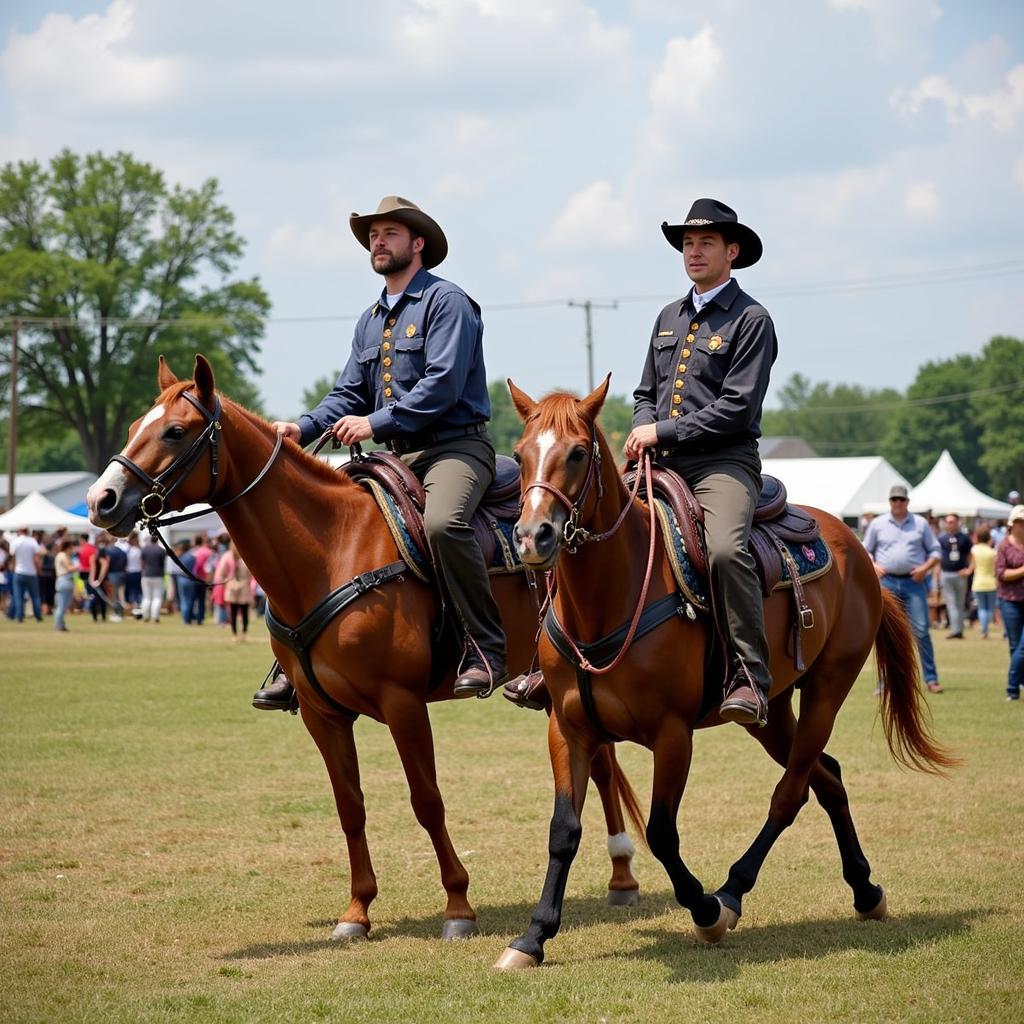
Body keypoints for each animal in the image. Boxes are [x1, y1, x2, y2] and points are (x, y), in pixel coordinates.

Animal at [90, 358, 647, 942]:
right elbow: (349, 807)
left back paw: (623, 876)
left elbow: (427, 801)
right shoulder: (323, 714)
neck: (332, 548)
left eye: (175, 431)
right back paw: (621, 873)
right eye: (135, 427)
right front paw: (356, 911)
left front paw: (458, 906)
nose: (101, 500)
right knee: (601, 762)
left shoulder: (403, 704)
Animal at [491, 380, 954, 970]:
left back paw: (732, 894)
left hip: (827, 690)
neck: (609, 596)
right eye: (521, 453)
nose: (533, 537)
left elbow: (662, 833)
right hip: (770, 711)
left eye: (576, 453)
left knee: (791, 792)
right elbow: (563, 830)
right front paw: (532, 937)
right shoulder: (568, 730)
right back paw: (865, 890)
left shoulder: (672, 734)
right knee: (826, 777)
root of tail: (857, 548)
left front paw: (705, 911)